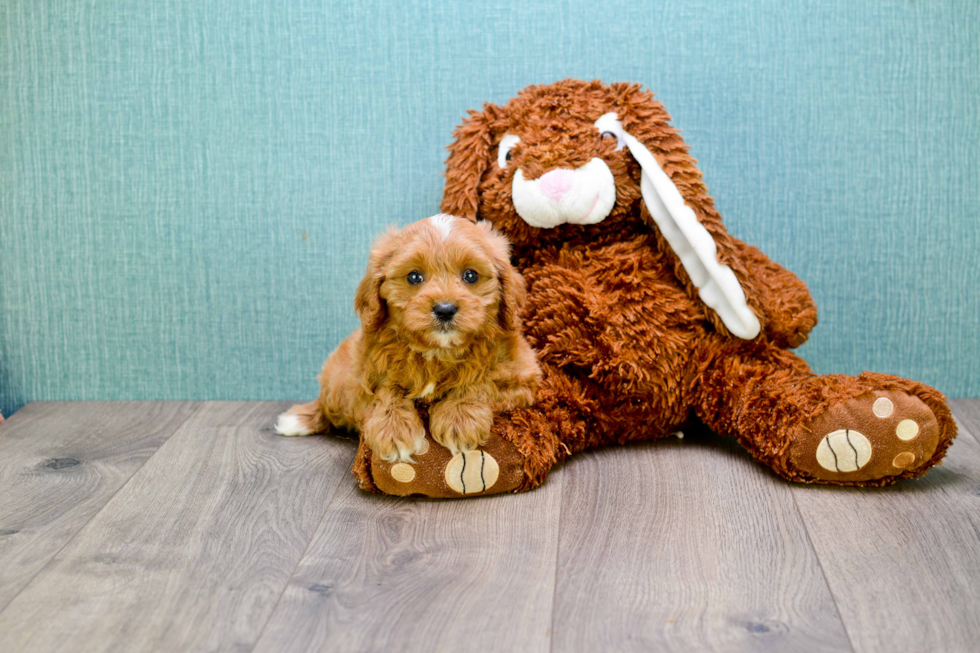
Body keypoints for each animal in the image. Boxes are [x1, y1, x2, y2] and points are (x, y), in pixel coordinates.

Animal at [274, 214, 544, 464]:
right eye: (414, 277)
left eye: (471, 275)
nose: (445, 309)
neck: (438, 351)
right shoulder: (362, 375)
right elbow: (386, 391)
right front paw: (393, 431)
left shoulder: (523, 375)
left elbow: (482, 381)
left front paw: (459, 419)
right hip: (339, 378)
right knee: (328, 402)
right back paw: (298, 420)